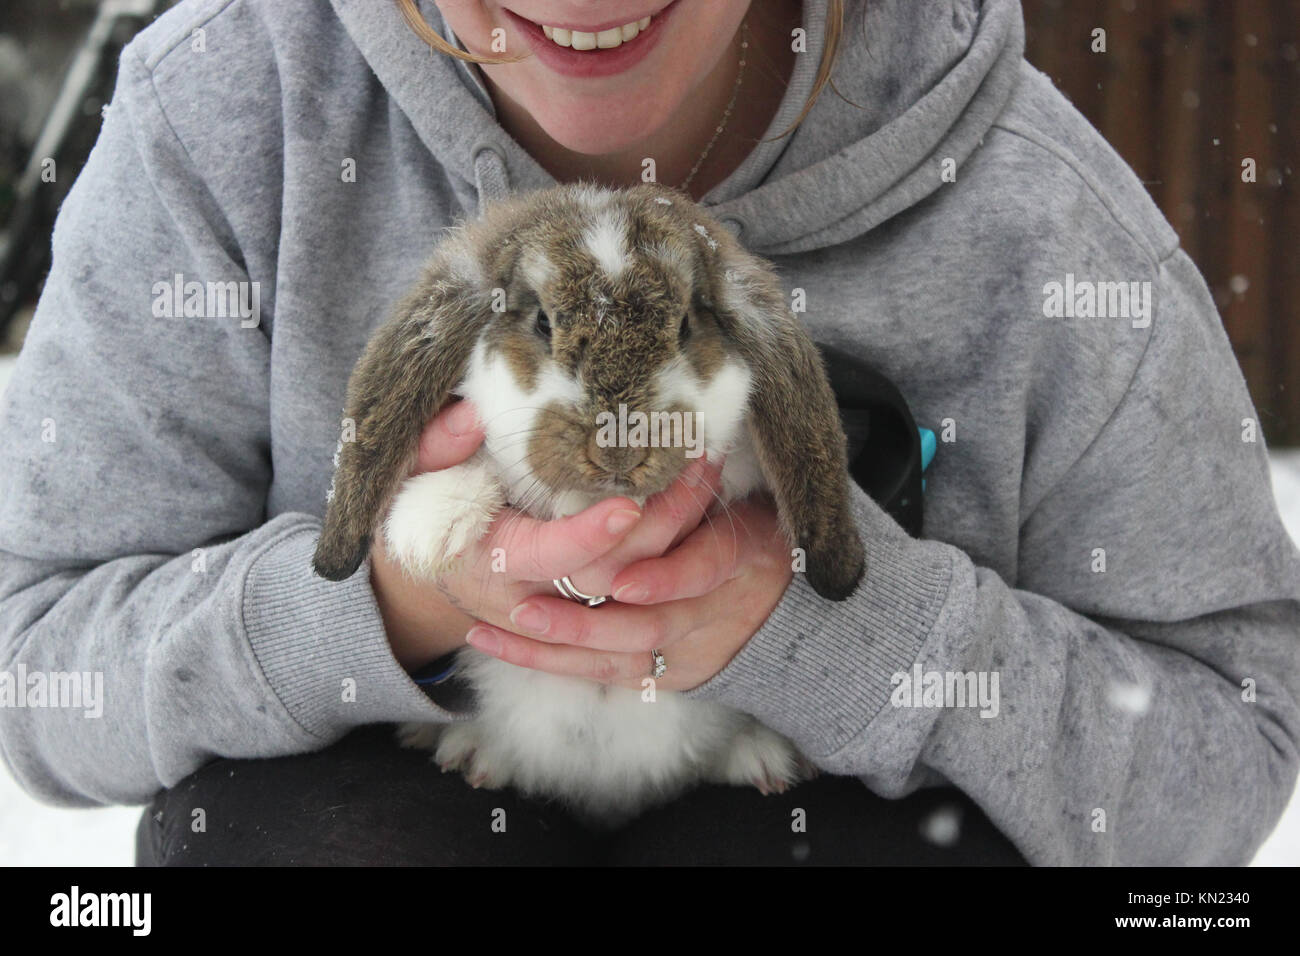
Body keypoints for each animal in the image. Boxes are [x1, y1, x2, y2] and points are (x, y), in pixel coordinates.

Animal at [312, 181, 865, 827]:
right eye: (542, 321)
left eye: (684, 326)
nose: (618, 449)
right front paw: (429, 524)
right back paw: (468, 751)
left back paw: (765, 760)